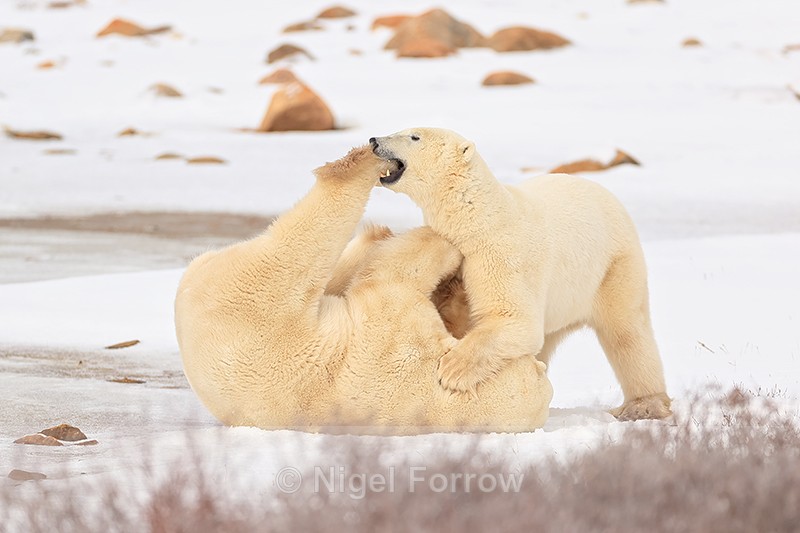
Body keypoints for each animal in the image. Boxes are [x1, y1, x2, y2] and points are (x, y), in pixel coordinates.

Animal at [174, 145, 553, 434]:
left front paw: (446, 260)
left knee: (301, 250)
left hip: (261, 302)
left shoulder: (395, 345)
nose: (542, 368)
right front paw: (452, 267)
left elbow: (387, 276)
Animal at [369, 127, 671, 421]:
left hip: (613, 266)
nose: (374, 140)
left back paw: (644, 405)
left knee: (627, 332)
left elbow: (515, 319)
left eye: (414, 136)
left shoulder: (501, 256)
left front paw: (452, 370)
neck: (478, 220)